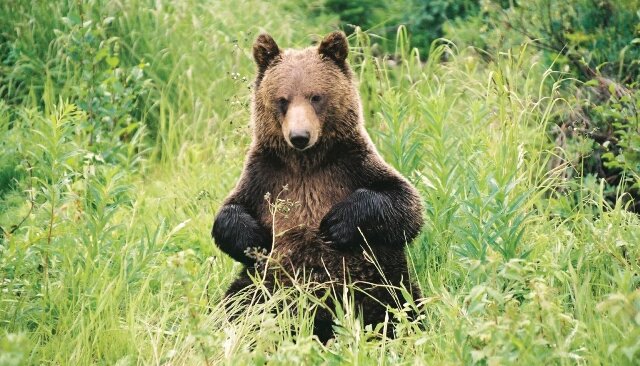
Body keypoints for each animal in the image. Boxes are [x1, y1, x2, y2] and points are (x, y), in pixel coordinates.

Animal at [212, 30, 424, 342]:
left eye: (316, 96)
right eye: (283, 99)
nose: (300, 136)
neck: (306, 163)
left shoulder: (350, 165)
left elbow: (405, 205)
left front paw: (336, 222)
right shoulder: (265, 175)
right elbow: (229, 214)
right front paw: (253, 237)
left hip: (377, 279)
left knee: (401, 303)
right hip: (263, 285)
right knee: (237, 305)